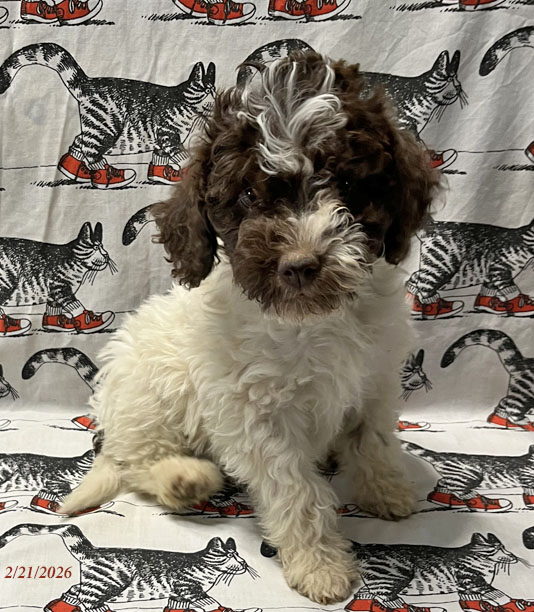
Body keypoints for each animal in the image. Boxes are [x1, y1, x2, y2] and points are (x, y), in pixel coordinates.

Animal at [0, 43, 216, 187]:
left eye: (214, 91)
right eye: (207, 92)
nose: (215, 103)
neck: (186, 108)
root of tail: (87, 82)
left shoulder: (163, 141)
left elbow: (160, 157)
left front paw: (165, 175)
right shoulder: (167, 135)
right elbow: (183, 155)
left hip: (101, 129)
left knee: (80, 141)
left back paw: (74, 170)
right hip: (105, 129)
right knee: (89, 149)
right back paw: (108, 176)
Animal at [0, 523, 261, 612]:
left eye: (240, 556)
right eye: (233, 557)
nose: (245, 563)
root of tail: (94, 550)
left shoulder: (179, 593)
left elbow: (178, 605)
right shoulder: (187, 586)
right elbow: (208, 600)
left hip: (106, 585)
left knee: (75, 589)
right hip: (111, 583)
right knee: (87, 598)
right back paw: (100, 610)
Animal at [61, 51, 440, 604]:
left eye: (348, 185)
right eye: (245, 195)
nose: (300, 265)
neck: (311, 319)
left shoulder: (375, 380)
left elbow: (373, 441)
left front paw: (385, 491)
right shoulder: (257, 415)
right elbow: (296, 490)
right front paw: (320, 565)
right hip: (153, 395)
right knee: (138, 461)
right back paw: (184, 479)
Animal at [402, 440, 534, 512]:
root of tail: (441, 455)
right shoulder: (526, 477)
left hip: (457, 476)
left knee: (443, 482)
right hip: (471, 476)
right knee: (458, 488)